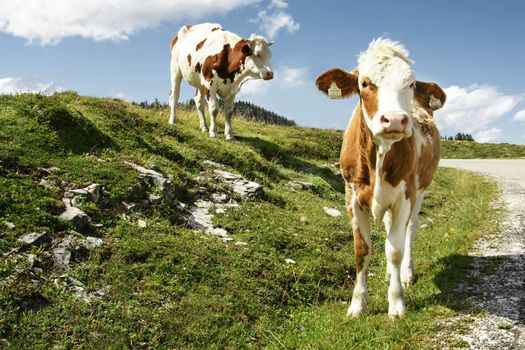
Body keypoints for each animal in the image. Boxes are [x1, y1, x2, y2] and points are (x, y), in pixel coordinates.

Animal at [316, 38, 446, 318]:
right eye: (365, 83)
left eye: (410, 84)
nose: (395, 119)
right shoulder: (351, 196)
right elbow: (361, 250)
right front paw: (357, 303)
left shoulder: (405, 196)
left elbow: (395, 249)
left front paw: (396, 303)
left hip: (420, 191)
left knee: (409, 231)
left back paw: (405, 273)